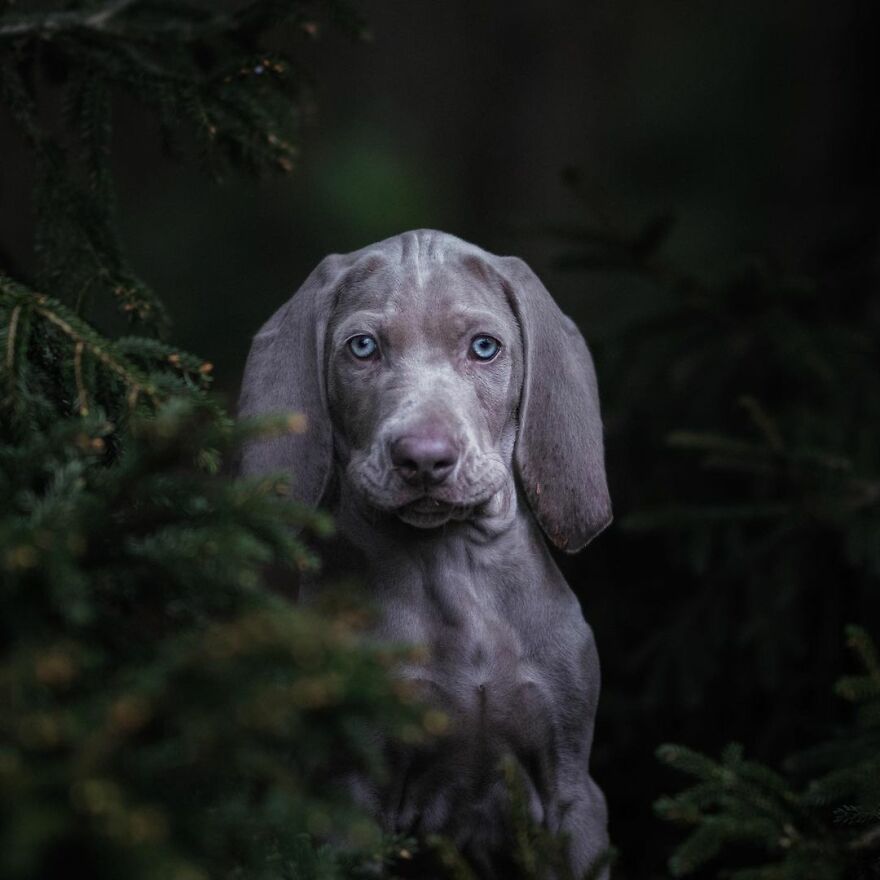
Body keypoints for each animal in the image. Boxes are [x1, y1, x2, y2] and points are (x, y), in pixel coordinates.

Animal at [239, 230, 612, 876]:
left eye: (484, 348)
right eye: (363, 347)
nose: (424, 459)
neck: (453, 565)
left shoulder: (572, 795)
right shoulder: (352, 800)